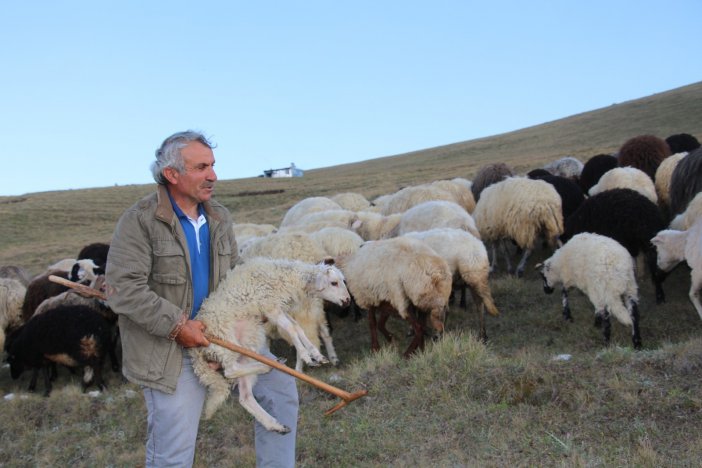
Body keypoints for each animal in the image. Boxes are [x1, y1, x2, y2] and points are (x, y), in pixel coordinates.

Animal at [190, 258, 352, 430]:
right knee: (230, 370)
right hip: (224, 341)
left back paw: (275, 424)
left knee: (245, 396)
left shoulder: (281, 309)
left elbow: (297, 328)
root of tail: (195, 353)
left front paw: (316, 354)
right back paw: (267, 366)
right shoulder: (271, 307)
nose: (347, 301)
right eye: (334, 283)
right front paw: (306, 356)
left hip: (247, 344)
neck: (287, 277)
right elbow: (291, 329)